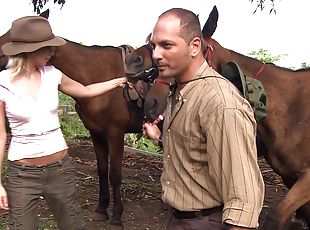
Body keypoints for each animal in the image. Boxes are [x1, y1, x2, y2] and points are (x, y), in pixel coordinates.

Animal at [0, 10, 156, 226]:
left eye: (7, 40)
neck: (93, 74)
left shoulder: (115, 133)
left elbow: (115, 175)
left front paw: (116, 216)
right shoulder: (96, 133)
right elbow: (102, 171)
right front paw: (101, 209)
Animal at [144, 5, 310, 230]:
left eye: (168, 46)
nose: (150, 104)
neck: (290, 108)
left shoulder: (305, 179)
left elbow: (275, 216)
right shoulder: (290, 177)